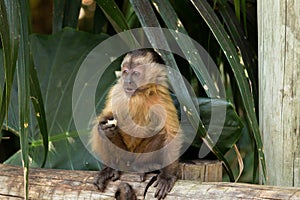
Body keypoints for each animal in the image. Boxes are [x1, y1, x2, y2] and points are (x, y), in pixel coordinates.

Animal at [90, 49, 182, 199]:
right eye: (126, 72)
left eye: (136, 74)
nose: (127, 81)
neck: (139, 94)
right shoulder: (116, 90)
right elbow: (105, 118)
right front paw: (107, 127)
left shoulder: (161, 94)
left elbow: (172, 132)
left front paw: (167, 176)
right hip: (123, 156)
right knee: (100, 130)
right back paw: (110, 167)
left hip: (138, 156)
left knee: (161, 132)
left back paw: (144, 166)